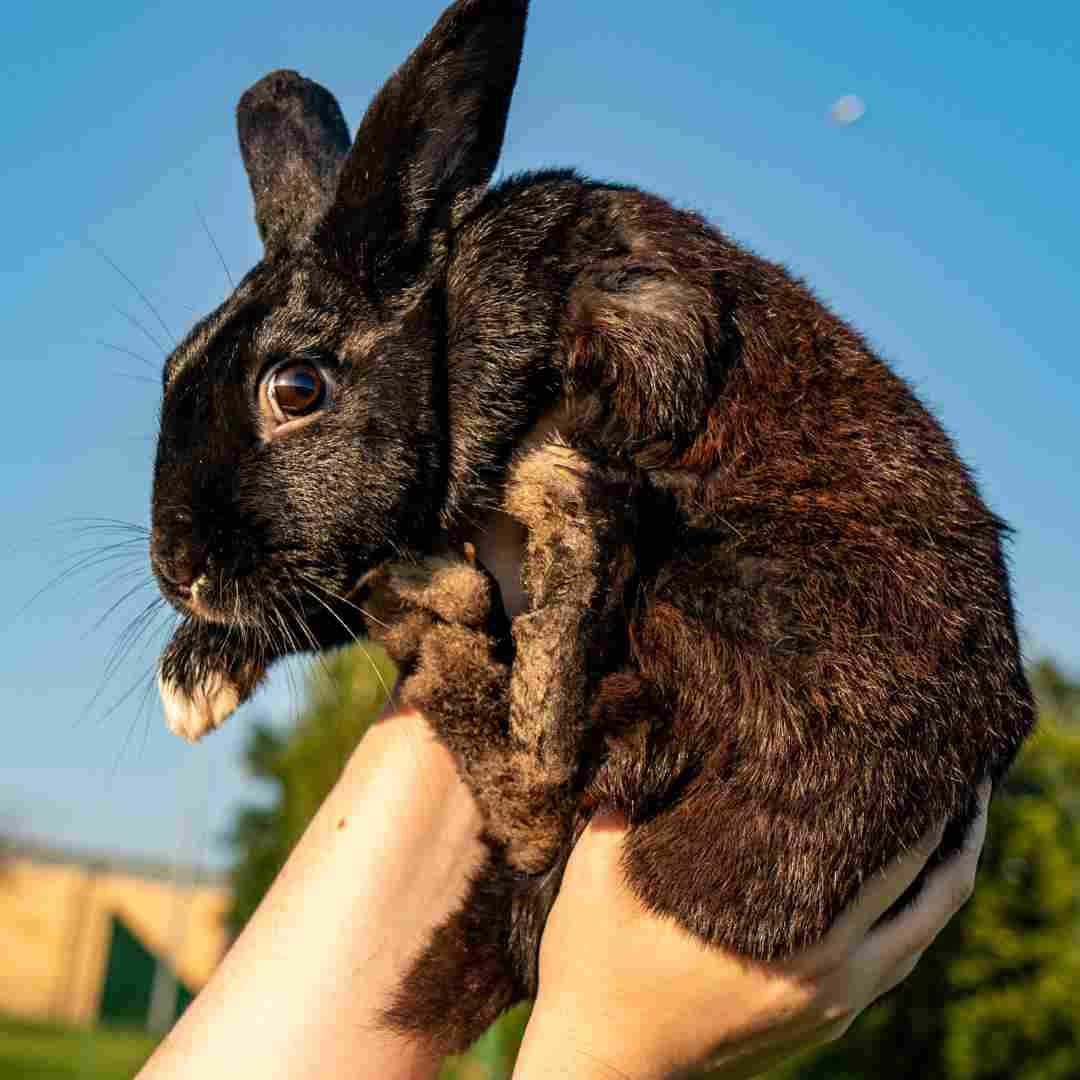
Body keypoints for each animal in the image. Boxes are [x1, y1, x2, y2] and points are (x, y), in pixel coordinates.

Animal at [147, 0, 1032, 1049]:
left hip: (724, 623)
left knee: (548, 789)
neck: (445, 316)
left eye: (296, 388)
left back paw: (459, 611)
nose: (177, 566)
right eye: (170, 374)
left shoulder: (641, 315)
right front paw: (198, 672)